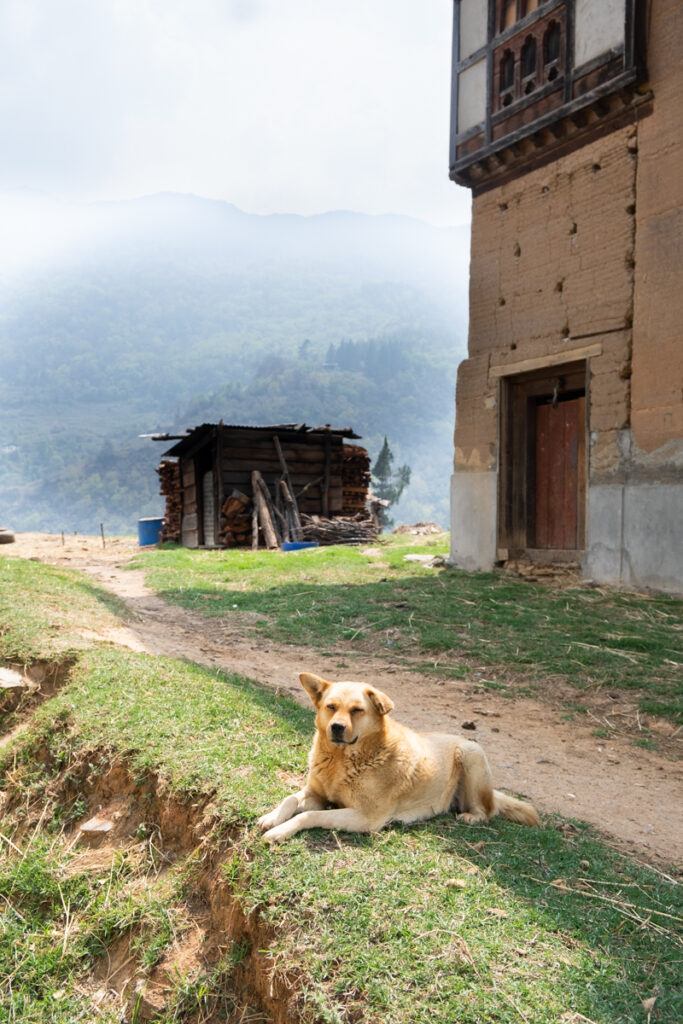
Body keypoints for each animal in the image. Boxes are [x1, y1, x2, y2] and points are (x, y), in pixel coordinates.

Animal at [255, 671, 540, 839]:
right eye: (331, 707)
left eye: (357, 710)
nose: (336, 727)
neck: (342, 760)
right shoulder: (316, 794)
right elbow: (290, 800)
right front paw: (271, 817)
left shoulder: (365, 818)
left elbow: (309, 815)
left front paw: (281, 831)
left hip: (471, 752)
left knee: (488, 811)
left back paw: (472, 816)